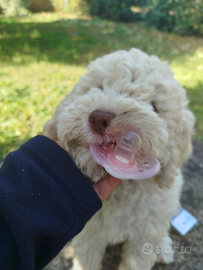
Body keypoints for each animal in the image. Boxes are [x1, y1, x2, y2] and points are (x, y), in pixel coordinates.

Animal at [44, 49, 195, 270]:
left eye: (154, 107)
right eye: (99, 87)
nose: (99, 118)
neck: (122, 191)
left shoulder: (143, 238)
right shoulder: (88, 234)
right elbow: (86, 260)